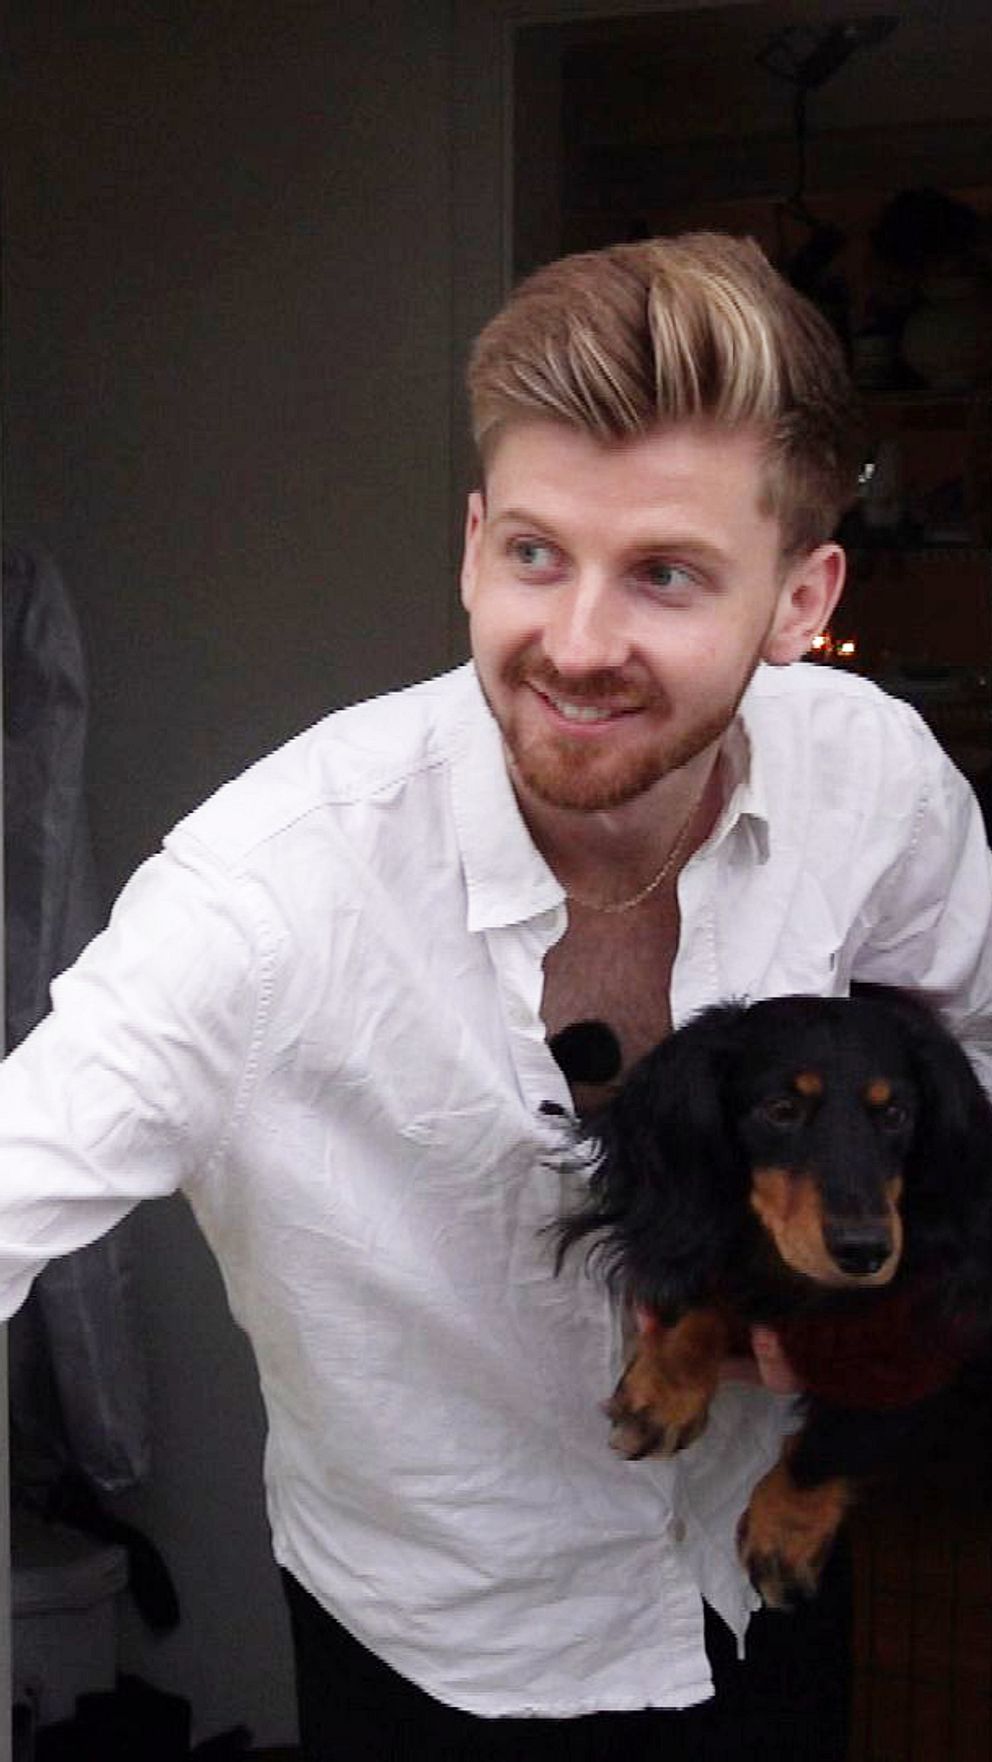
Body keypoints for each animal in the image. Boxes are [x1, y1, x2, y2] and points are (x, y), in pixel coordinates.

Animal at [555, 989, 992, 1607]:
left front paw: (785, 1534)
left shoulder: (923, 1330)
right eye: (782, 1109)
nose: (865, 1252)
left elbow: (841, 1438)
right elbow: (707, 1276)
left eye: (895, 1114)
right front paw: (665, 1390)